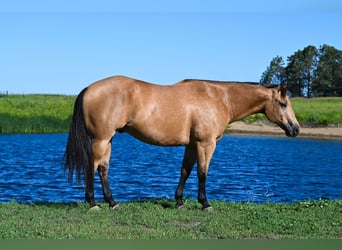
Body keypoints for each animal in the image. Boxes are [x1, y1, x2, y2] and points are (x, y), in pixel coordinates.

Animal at [64, 75, 300, 210]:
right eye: (282, 103)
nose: (295, 129)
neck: (219, 98)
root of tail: (88, 89)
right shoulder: (206, 144)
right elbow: (202, 173)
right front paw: (205, 203)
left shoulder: (192, 145)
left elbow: (185, 171)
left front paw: (179, 202)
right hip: (101, 139)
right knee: (91, 167)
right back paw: (93, 203)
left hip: (108, 139)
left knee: (103, 169)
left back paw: (112, 203)